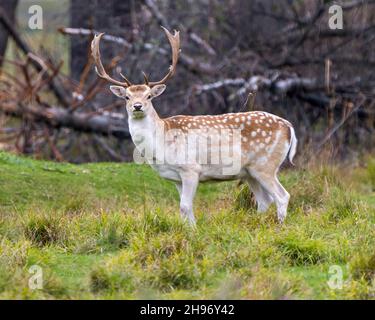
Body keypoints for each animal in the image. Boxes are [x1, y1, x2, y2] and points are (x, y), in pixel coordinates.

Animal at [91, 27, 296, 225]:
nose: (138, 106)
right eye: (127, 97)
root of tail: (289, 126)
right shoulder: (176, 178)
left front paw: (192, 231)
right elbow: (185, 210)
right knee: (264, 200)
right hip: (249, 172)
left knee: (282, 196)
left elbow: (184, 207)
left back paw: (279, 226)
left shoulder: (191, 169)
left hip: (265, 165)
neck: (161, 144)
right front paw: (189, 230)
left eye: (149, 96)